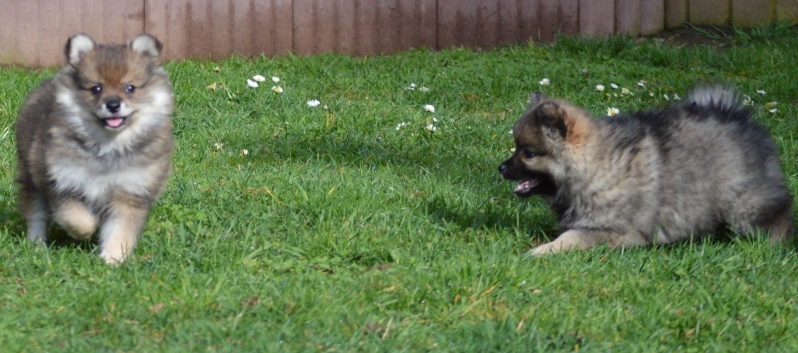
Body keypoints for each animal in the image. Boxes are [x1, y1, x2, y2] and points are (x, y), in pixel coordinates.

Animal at [15, 33, 175, 264]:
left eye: (130, 88)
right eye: (96, 88)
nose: (113, 105)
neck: (108, 146)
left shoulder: (130, 192)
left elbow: (120, 231)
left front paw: (112, 260)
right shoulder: (62, 183)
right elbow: (79, 220)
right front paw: (86, 231)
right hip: (32, 177)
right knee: (36, 215)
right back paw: (36, 246)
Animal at [500, 86, 792, 254]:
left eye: (528, 153)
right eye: (517, 148)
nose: (501, 167)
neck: (594, 166)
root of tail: (739, 118)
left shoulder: (612, 230)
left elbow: (570, 238)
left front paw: (541, 251)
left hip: (745, 205)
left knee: (778, 219)